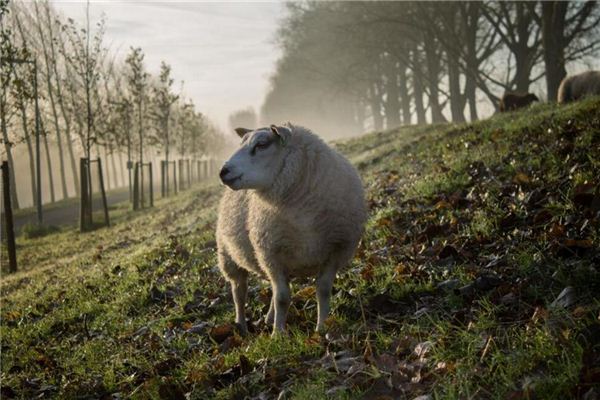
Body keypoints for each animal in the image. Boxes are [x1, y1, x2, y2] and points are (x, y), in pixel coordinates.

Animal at [216, 123, 366, 336]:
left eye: (261, 145)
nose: (223, 171)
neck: (302, 214)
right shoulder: (271, 255)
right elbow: (282, 298)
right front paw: (278, 334)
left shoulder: (335, 251)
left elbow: (323, 290)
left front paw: (322, 328)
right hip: (229, 257)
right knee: (239, 292)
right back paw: (242, 326)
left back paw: (268, 318)